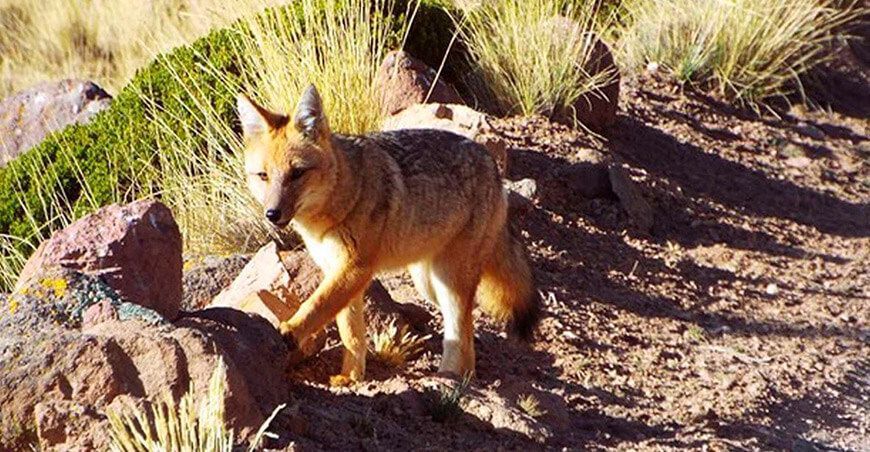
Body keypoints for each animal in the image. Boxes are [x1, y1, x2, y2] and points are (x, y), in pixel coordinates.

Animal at [236, 85, 539, 385]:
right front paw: (351, 377)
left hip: (449, 280)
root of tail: (492, 164)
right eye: (263, 176)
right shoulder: (338, 270)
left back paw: (449, 378)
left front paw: (290, 330)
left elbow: (317, 304)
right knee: (467, 333)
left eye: (297, 173)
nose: (272, 214)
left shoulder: (356, 268)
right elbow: (351, 332)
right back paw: (461, 376)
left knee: (460, 331)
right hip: (428, 283)